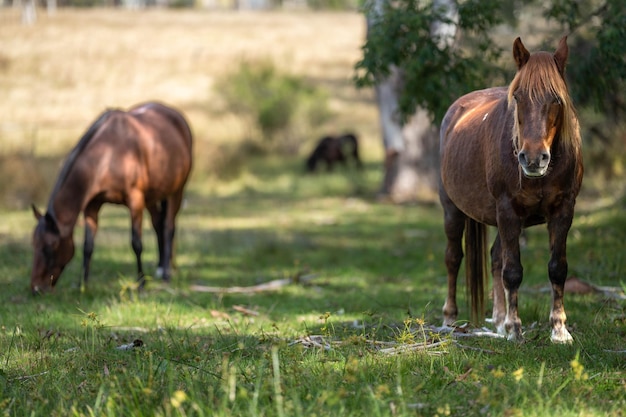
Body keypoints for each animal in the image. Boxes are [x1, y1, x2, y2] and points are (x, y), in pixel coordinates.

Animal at [31, 101, 193, 292]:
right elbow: (88, 246)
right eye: (34, 245)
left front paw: (141, 283)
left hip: (176, 191)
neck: (108, 156)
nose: (36, 288)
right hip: (153, 197)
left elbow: (136, 243)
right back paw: (161, 268)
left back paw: (166, 274)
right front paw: (83, 285)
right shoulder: (92, 206)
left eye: (49, 247)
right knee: (158, 224)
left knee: (168, 227)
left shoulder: (135, 201)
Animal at [436, 36, 584, 342]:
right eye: (518, 97)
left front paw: (559, 330)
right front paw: (516, 330)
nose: (533, 158)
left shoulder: (563, 211)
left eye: (556, 99)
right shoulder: (507, 211)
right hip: (453, 211)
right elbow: (513, 271)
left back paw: (499, 320)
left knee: (494, 257)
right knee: (453, 258)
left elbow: (557, 269)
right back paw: (450, 319)